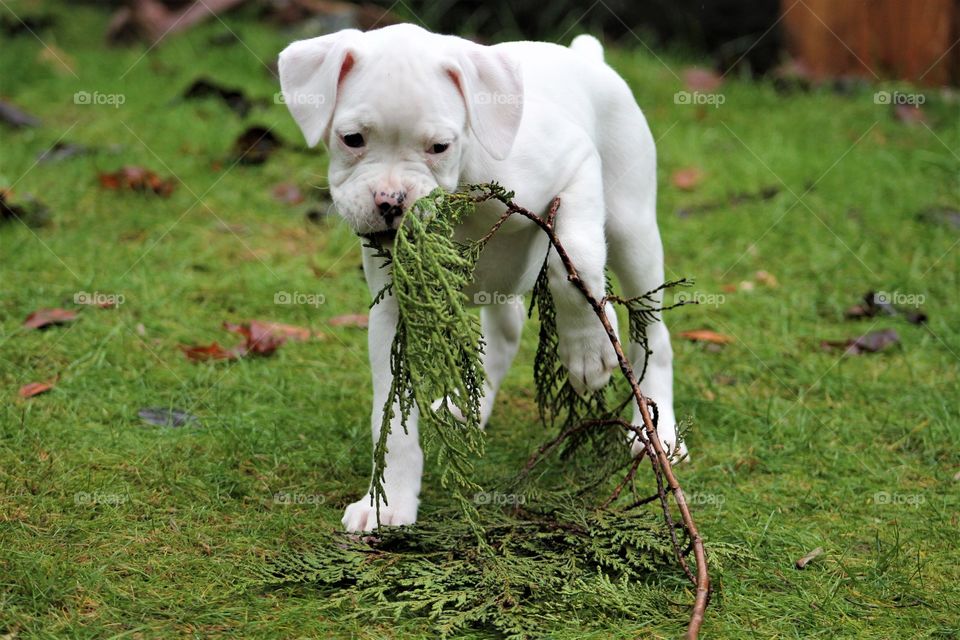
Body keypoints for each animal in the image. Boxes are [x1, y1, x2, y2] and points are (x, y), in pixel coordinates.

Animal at [282, 23, 688, 536]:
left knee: (652, 331)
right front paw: (388, 502)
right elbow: (391, 417)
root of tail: (586, 57)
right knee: (506, 330)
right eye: (352, 139)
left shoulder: (576, 163)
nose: (391, 202)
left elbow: (572, 261)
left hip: (632, 228)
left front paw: (587, 352)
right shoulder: (396, 315)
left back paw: (661, 431)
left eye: (440, 147)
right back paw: (465, 407)